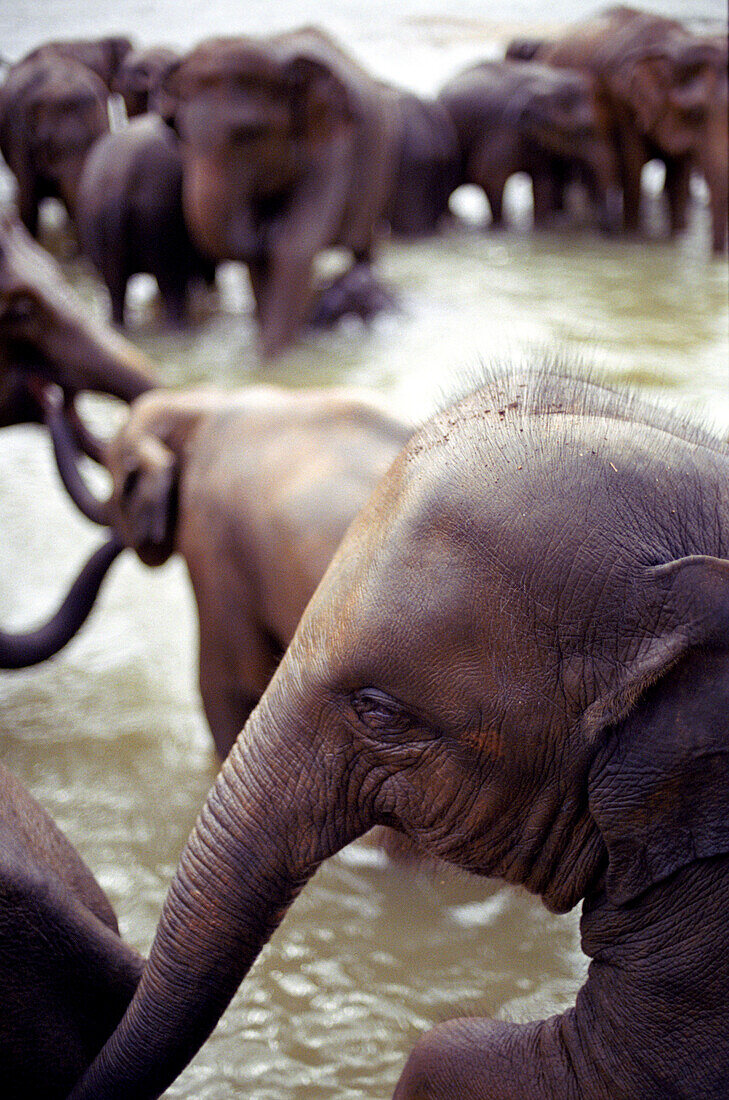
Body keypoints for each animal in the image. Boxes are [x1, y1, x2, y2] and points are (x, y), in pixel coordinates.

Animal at [439, 59, 620, 229]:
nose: (604, 227)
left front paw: (540, 226)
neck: (547, 82)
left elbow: (544, 183)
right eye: (582, 130)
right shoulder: (503, 131)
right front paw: (500, 227)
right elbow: (487, 176)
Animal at [507, 6, 729, 251]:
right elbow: (633, 163)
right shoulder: (625, 103)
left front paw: (677, 236)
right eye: (695, 113)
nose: (717, 254)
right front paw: (633, 236)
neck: (674, 43)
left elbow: (677, 174)